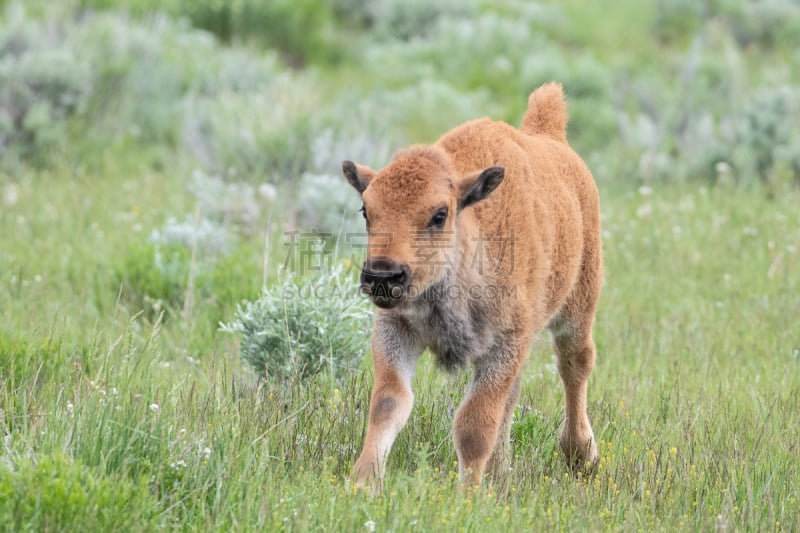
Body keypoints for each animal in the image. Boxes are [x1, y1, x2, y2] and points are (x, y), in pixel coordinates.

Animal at [342, 82, 600, 486]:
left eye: (439, 215)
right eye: (366, 211)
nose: (382, 277)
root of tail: (550, 136)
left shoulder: (503, 346)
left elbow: (474, 424)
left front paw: (468, 491)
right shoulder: (396, 331)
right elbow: (388, 402)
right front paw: (364, 481)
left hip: (577, 307)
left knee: (575, 365)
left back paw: (580, 455)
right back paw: (501, 470)